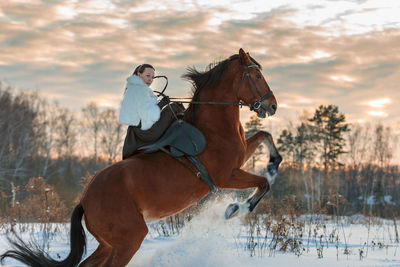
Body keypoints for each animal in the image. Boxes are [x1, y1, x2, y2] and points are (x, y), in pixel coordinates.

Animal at [0, 48, 282, 267]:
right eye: (257, 75)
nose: (272, 106)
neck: (212, 128)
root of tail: (84, 201)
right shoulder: (227, 175)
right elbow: (263, 185)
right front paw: (234, 209)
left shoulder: (240, 157)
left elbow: (264, 135)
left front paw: (273, 164)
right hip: (129, 239)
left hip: (109, 243)